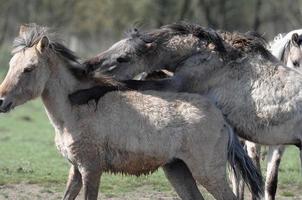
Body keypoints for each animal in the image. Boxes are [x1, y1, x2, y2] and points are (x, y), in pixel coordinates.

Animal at [0, 23, 264, 200]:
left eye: (29, 69)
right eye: (11, 64)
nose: (1, 101)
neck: (74, 110)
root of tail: (222, 118)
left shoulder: (90, 170)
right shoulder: (75, 170)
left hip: (209, 173)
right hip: (179, 170)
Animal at [70, 21, 302, 198]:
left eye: (122, 58)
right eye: (113, 46)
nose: (86, 67)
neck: (206, 54)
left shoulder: (175, 84)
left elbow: (128, 84)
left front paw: (80, 95)